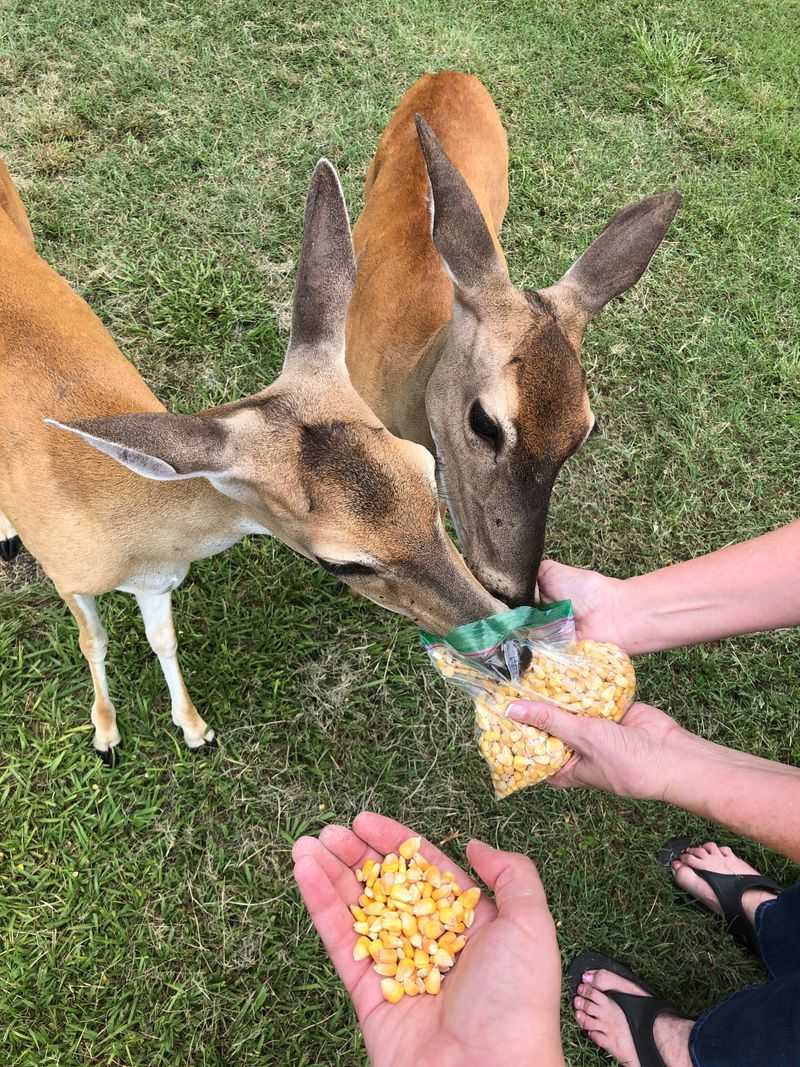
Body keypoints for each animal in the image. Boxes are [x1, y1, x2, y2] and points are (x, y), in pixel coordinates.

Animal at [0, 156, 501, 763]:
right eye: (342, 564)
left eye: (427, 473)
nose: (511, 649)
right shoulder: (65, 573)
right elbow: (91, 640)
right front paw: (105, 735)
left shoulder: (158, 581)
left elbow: (162, 638)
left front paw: (194, 730)